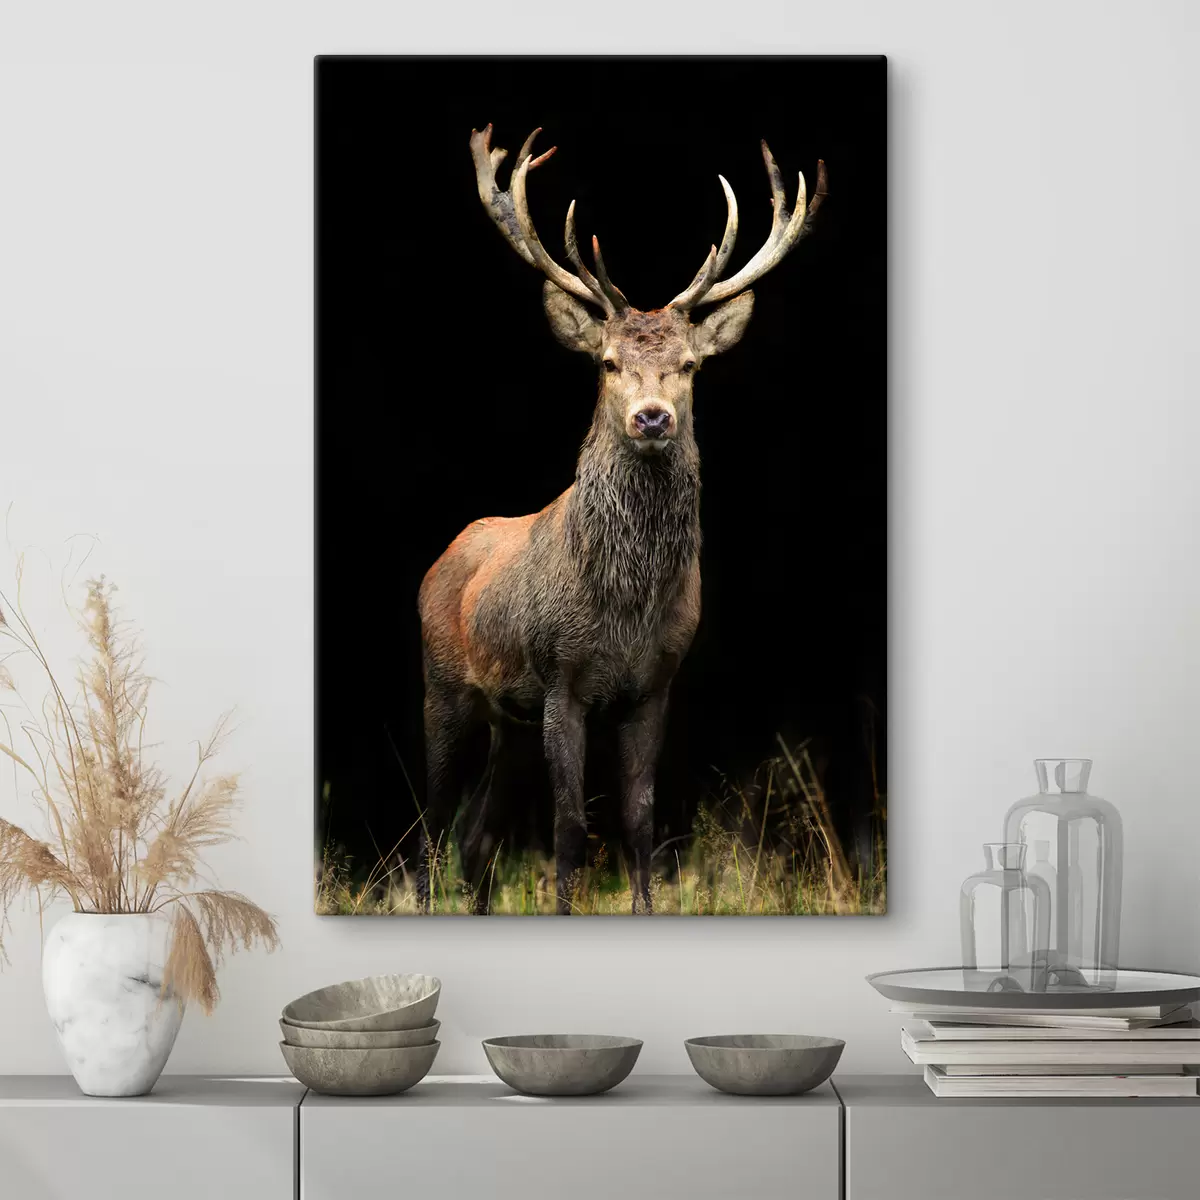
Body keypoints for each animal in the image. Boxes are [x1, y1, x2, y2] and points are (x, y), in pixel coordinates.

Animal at [416, 123, 826, 914]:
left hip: (509, 721)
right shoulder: (560, 677)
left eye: (691, 365)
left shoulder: (655, 684)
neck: (625, 608)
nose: (652, 416)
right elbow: (571, 827)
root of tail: (440, 559)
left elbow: (640, 822)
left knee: (476, 838)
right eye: (607, 362)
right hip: (445, 685)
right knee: (430, 822)